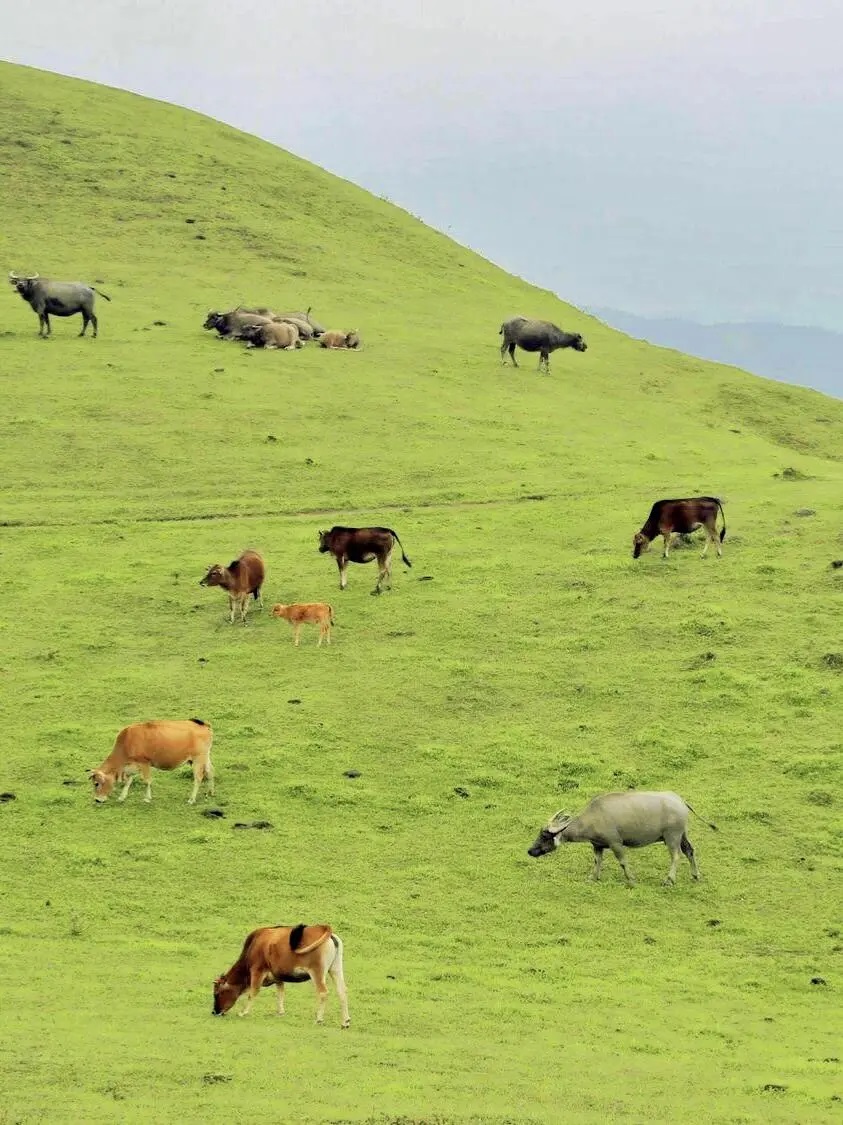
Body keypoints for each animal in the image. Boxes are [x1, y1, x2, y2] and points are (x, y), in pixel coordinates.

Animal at [213, 923, 350, 1027]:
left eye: (217, 993)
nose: (215, 1011)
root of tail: (324, 930)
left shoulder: (257, 970)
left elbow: (253, 992)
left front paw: (243, 1013)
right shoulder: (278, 976)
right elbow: (280, 993)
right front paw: (280, 1012)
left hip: (317, 972)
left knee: (323, 992)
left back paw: (319, 1019)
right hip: (335, 969)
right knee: (342, 991)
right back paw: (345, 1022)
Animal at [527, 790, 717, 886]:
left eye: (544, 836)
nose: (530, 851)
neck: (594, 816)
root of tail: (680, 801)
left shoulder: (616, 843)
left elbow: (623, 862)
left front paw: (631, 879)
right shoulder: (598, 846)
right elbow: (597, 861)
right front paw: (593, 877)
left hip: (672, 836)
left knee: (676, 855)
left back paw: (669, 880)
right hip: (682, 835)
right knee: (689, 851)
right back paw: (695, 875)